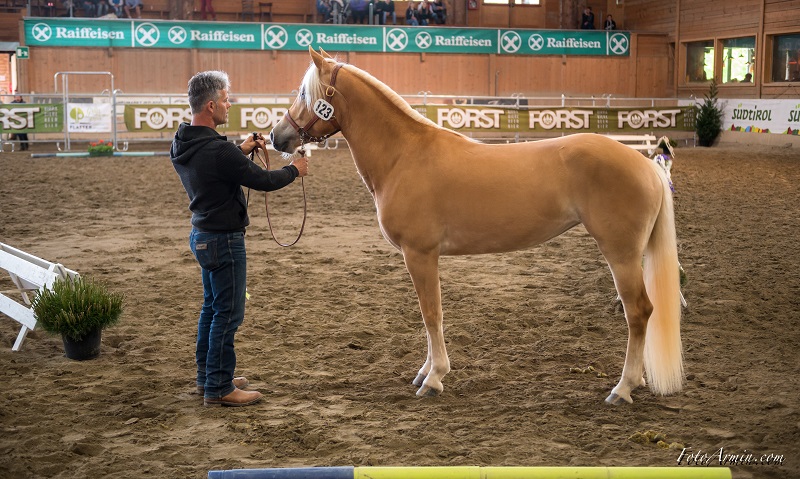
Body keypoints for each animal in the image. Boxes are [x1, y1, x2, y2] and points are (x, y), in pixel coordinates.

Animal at [270, 47, 683, 405]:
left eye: (305, 93)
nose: (277, 137)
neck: (404, 155)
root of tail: (645, 163)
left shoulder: (420, 255)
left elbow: (431, 314)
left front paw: (434, 377)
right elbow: (430, 315)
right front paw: (425, 372)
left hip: (621, 253)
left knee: (639, 312)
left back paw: (623, 388)